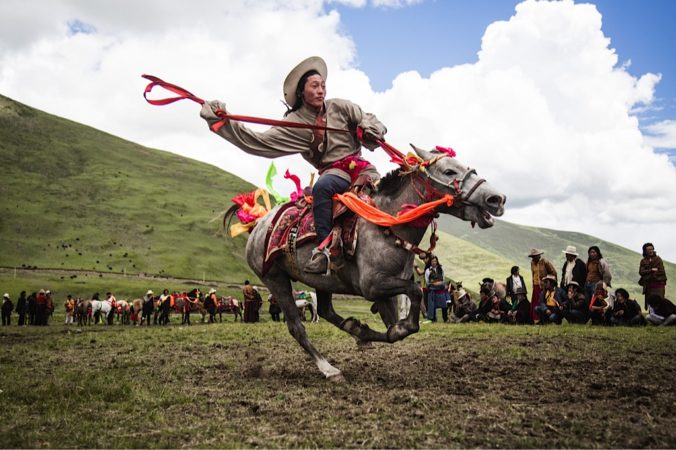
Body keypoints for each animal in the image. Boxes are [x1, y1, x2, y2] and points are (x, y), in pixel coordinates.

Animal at [243, 145, 502, 380]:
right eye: (449, 171)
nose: (496, 198)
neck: (388, 221)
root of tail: (258, 225)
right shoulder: (373, 285)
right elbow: (415, 293)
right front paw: (389, 328)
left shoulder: (385, 291)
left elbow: (395, 329)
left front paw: (366, 331)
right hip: (275, 279)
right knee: (297, 327)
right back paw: (329, 369)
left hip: (322, 282)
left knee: (326, 311)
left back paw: (354, 330)